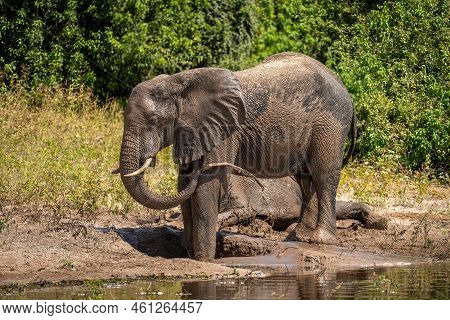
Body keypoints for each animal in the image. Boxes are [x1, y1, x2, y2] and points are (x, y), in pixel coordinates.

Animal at [115, 53, 356, 260]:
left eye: (155, 121)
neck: (179, 83)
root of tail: (341, 83)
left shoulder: (225, 129)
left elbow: (206, 183)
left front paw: (204, 260)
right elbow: (183, 184)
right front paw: (190, 255)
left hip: (331, 124)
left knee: (324, 175)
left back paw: (321, 240)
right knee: (306, 179)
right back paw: (299, 237)